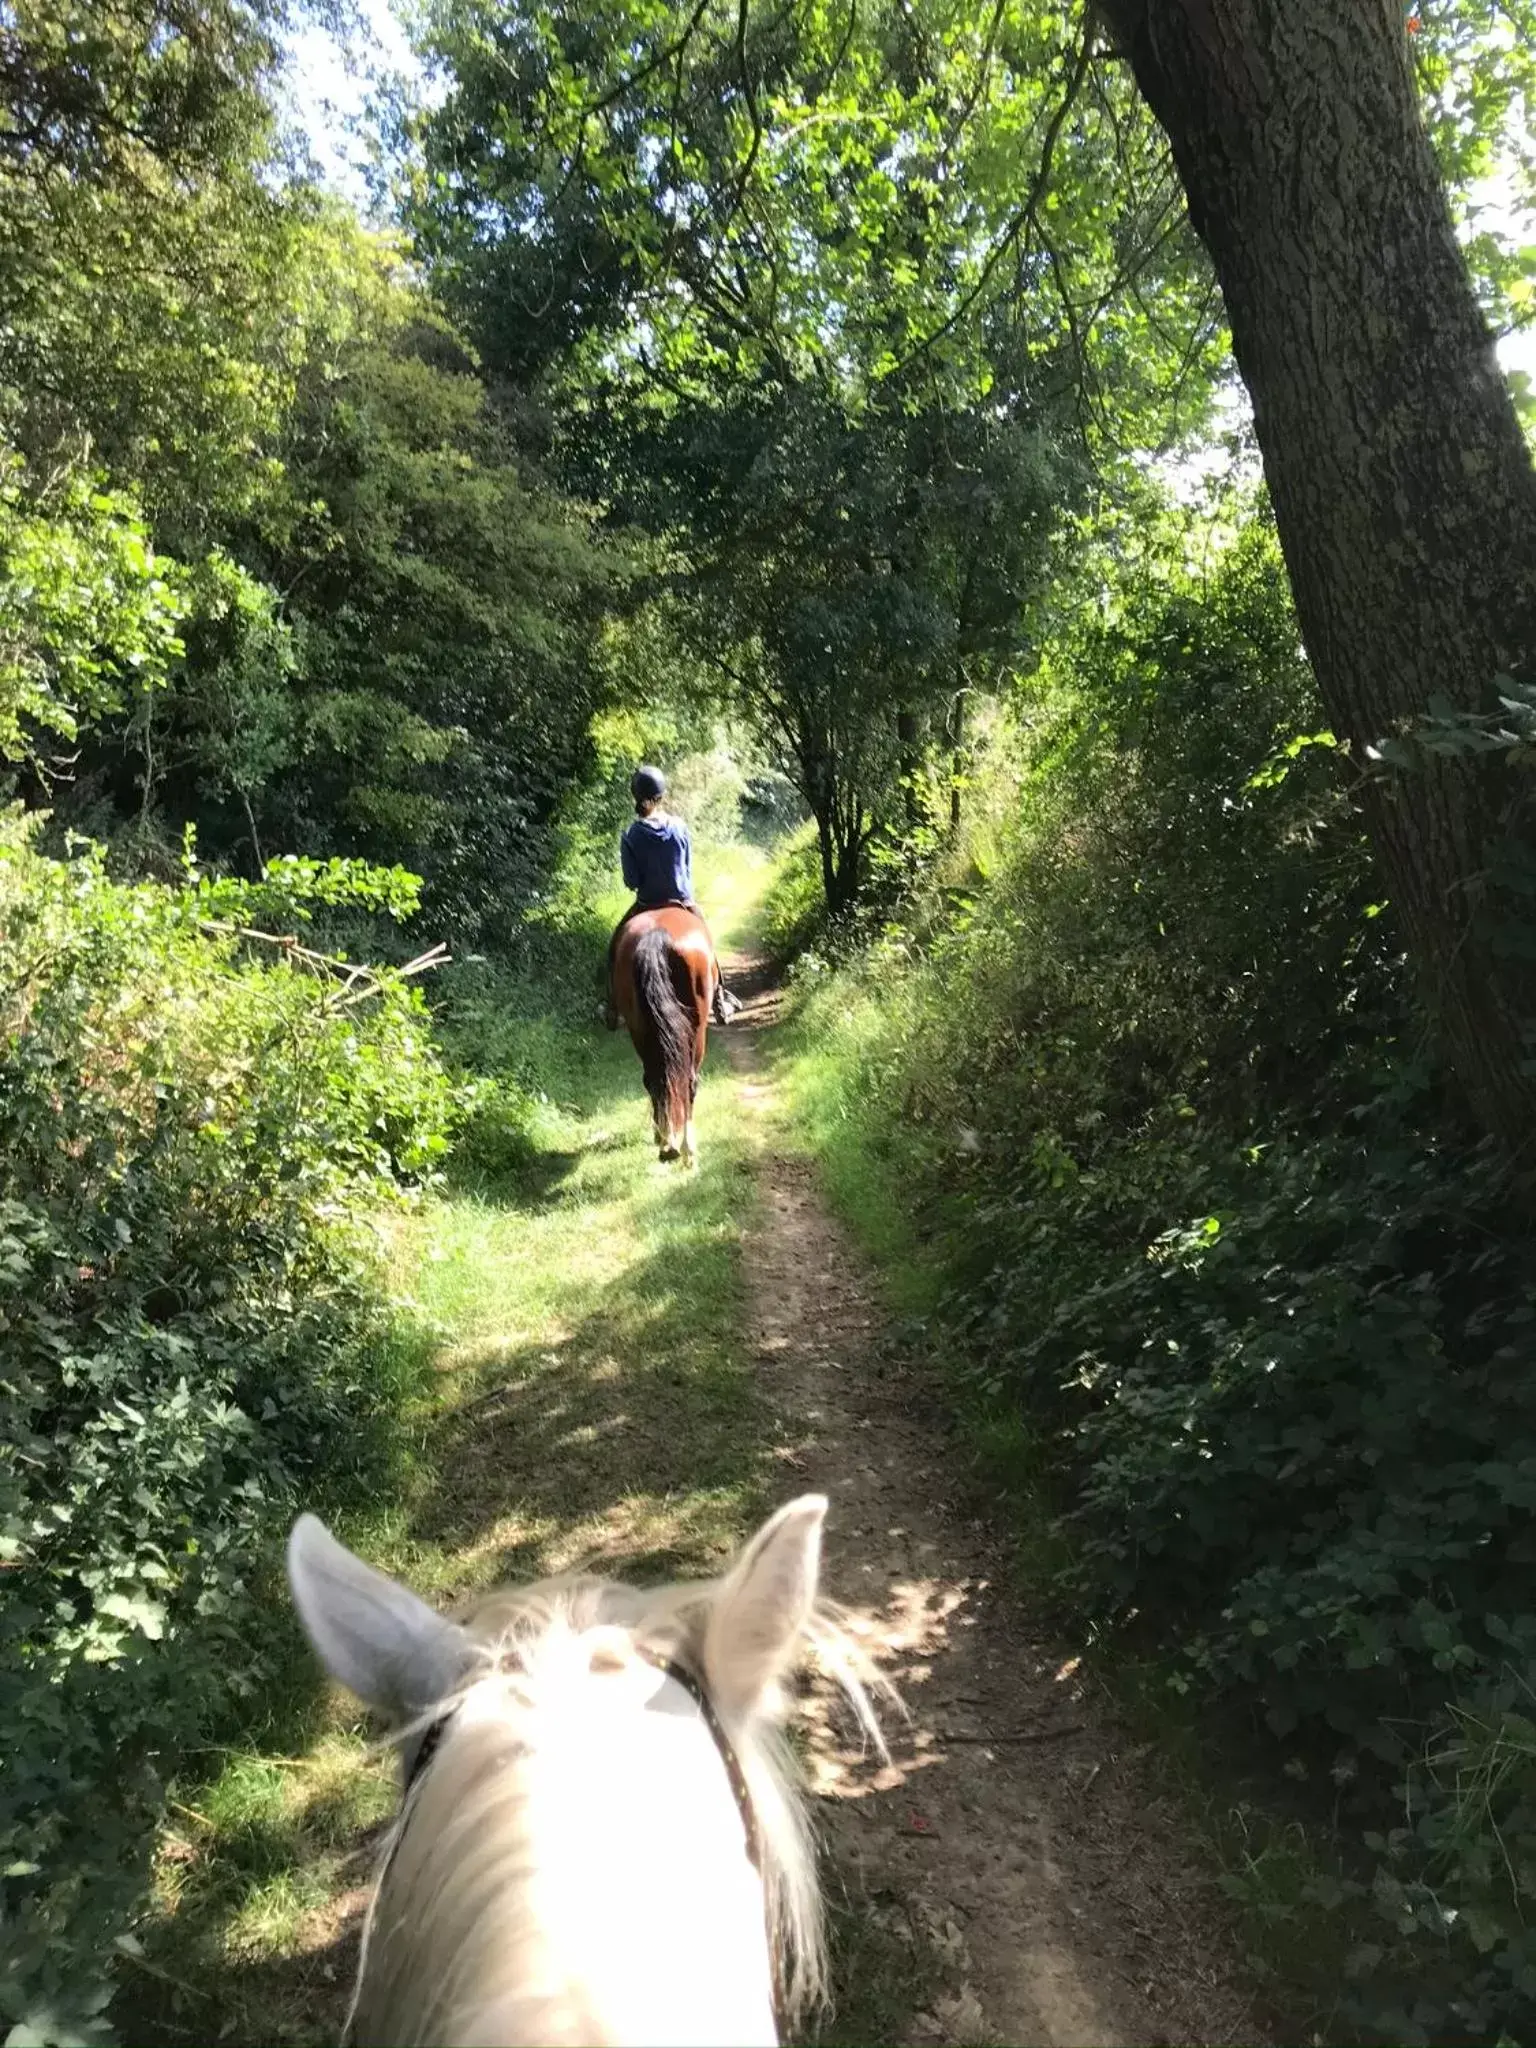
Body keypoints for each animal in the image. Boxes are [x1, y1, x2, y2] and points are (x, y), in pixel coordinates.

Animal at [610, 909, 720, 1171]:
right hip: (697, 1031)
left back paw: (667, 1143)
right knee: (689, 1083)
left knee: (654, 1080)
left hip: (639, 1028)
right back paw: (687, 1150)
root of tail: (656, 936)